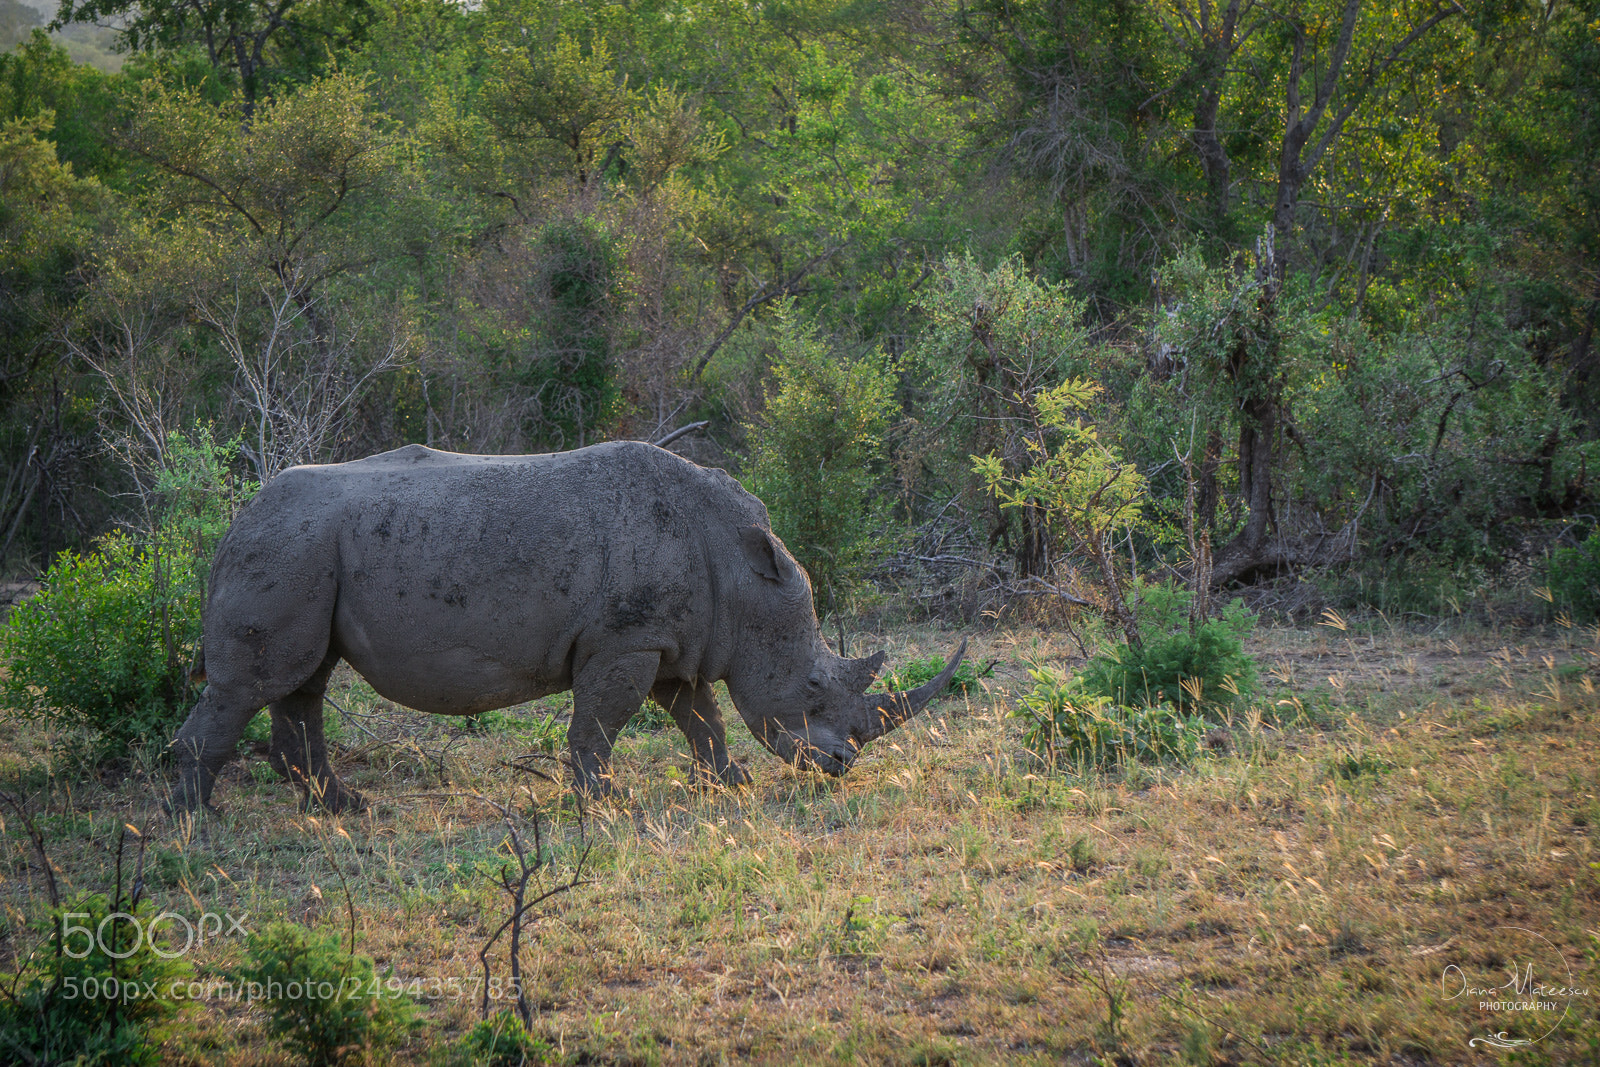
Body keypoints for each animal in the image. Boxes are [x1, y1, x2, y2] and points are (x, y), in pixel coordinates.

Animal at [169, 441, 965, 811]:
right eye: (811, 687)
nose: (841, 766)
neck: (744, 574)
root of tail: (235, 521)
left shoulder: (667, 639)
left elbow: (699, 715)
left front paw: (730, 783)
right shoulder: (626, 640)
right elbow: (603, 721)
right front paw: (604, 800)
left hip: (306, 551)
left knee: (303, 680)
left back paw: (344, 808)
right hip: (287, 547)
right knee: (257, 683)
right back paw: (194, 821)